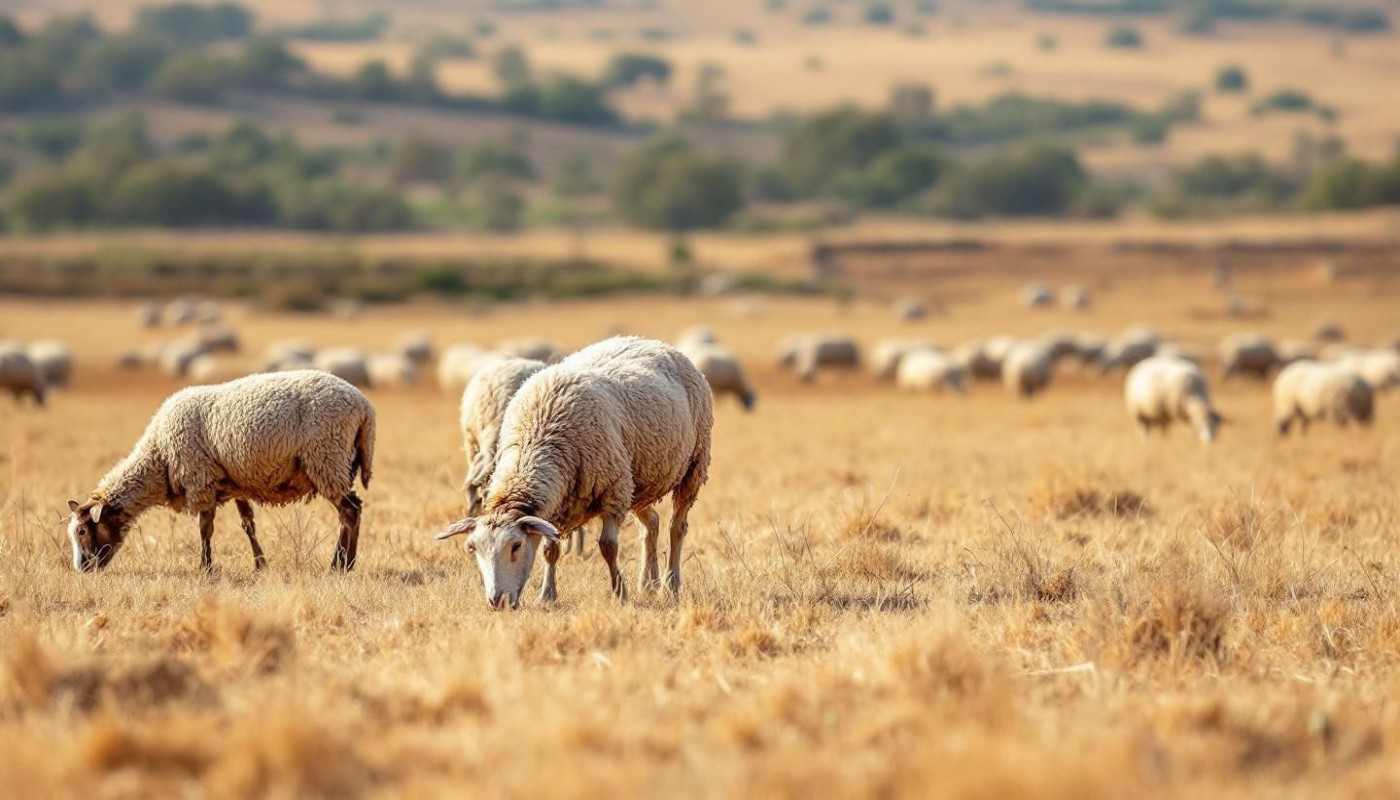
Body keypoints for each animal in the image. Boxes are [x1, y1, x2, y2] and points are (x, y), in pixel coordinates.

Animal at [66, 370, 375, 572]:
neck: (158, 458)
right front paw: (260, 564)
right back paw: (347, 563)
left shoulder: (199, 478)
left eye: (81, 531)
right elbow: (248, 525)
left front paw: (205, 568)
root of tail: (364, 407)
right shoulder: (236, 483)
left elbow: (205, 528)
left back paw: (339, 565)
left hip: (326, 457)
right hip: (338, 464)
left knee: (349, 512)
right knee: (354, 510)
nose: (81, 569)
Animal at [436, 337, 713, 609]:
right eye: (473, 548)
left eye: (516, 545)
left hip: (693, 467)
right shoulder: (557, 506)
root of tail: (651, 341)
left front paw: (619, 593)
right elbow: (550, 551)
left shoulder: (614, 490)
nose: (497, 602)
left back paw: (671, 584)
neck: (539, 438)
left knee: (677, 528)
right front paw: (547, 595)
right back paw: (648, 584)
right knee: (651, 525)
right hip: (638, 481)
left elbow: (608, 546)